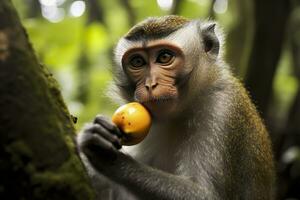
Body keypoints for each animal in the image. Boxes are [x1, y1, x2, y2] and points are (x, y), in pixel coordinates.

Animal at [76, 16, 276, 200]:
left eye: (164, 57)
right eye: (137, 62)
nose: (150, 84)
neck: (181, 113)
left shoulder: (222, 110)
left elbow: (205, 195)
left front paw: (109, 156)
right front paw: (93, 134)